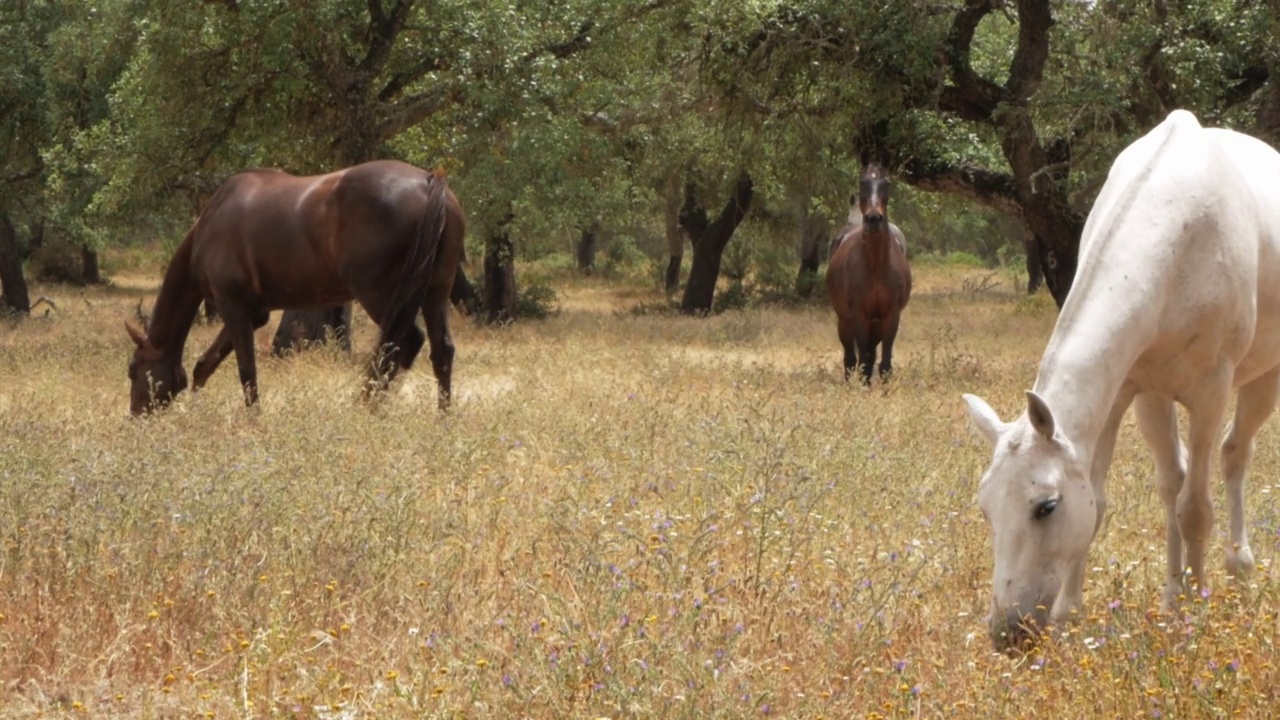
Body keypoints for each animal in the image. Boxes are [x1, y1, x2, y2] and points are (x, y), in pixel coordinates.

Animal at [123, 158, 465, 412]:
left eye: (132, 368)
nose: (137, 414)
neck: (210, 225)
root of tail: (428, 181)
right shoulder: (253, 314)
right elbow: (205, 365)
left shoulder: (233, 308)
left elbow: (246, 372)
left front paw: (253, 421)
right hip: (435, 294)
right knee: (441, 351)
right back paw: (440, 416)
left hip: (381, 296)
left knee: (403, 344)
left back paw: (369, 408)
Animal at [829, 160, 911, 384]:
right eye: (862, 182)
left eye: (886, 183)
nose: (873, 219)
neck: (876, 266)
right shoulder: (859, 315)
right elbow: (863, 359)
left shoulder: (891, 316)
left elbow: (884, 362)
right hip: (845, 321)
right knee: (850, 358)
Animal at [962, 110, 1280, 650]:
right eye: (986, 508)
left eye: (1045, 506)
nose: (1007, 632)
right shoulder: (1129, 390)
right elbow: (1104, 498)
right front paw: (1071, 615)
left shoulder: (1211, 391)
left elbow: (1197, 508)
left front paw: (1197, 617)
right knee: (1173, 479)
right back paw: (1173, 596)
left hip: (1264, 378)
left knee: (1234, 456)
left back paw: (1236, 569)